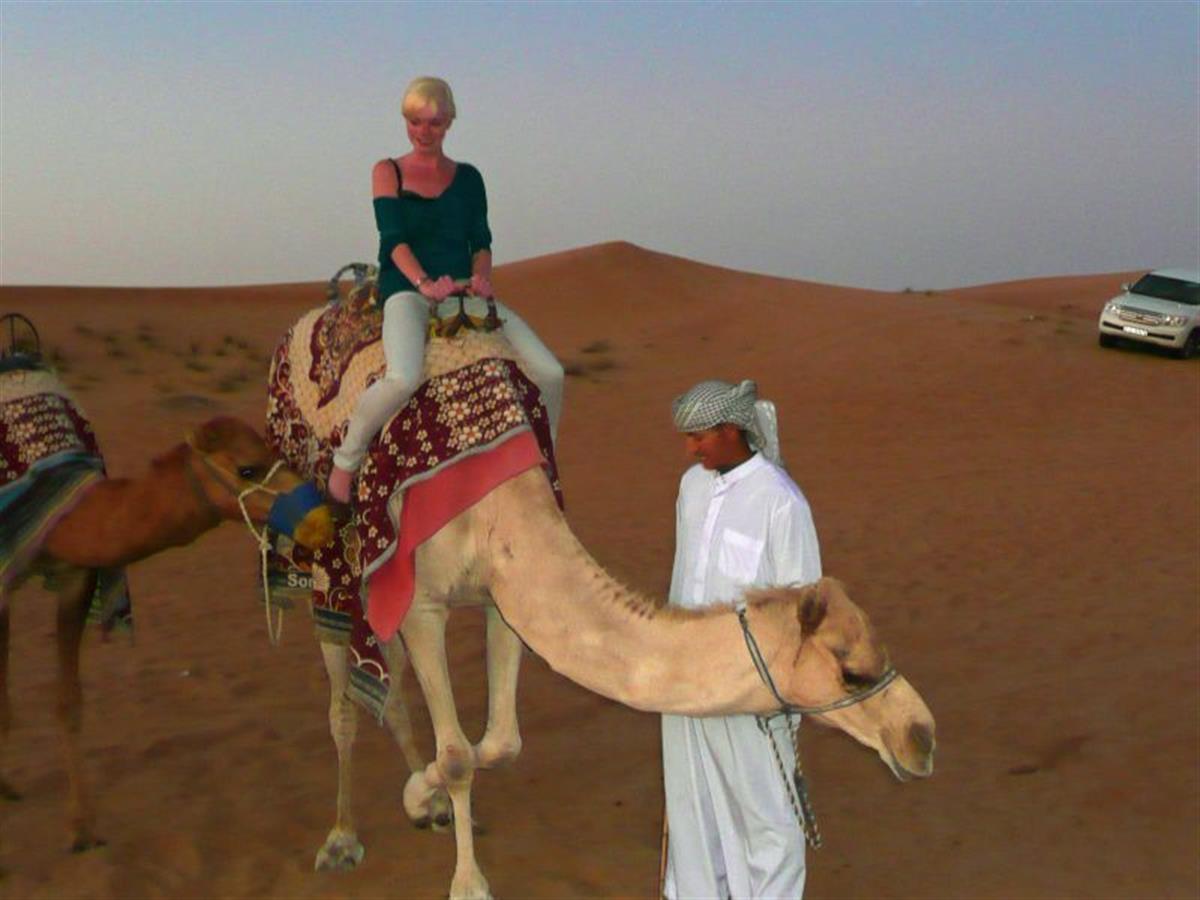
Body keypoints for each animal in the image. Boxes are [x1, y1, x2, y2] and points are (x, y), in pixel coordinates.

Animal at [268, 288, 936, 900]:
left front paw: (423, 798)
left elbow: (499, 742)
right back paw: (341, 839)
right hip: (332, 574)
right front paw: (464, 876)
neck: (498, 505)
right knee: (344, 708)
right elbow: (456, 753)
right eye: (850, 671)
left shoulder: (506, 598)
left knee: (389, 692)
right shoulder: (421, 601)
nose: (922, 737)